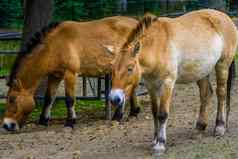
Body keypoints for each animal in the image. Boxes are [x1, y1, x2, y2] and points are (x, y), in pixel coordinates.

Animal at [2, 15, 139, 132]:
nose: (6, 125)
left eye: (12, 99)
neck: (55, 45)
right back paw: (133, 112)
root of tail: (136, 22)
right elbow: (49, 98)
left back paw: (118, 116)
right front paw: (43, 121)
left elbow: (69, 99)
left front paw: (70, 122)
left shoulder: (70, 74)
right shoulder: (55, 76)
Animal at [108, 9, 238, 153]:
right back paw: (199, 127)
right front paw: (155, 140)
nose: (114, 98)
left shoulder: (167, 83)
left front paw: (160, 144)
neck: (157, 46)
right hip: (201, 72)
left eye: (130, 68)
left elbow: (162, 114)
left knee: (221, 94)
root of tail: (225, 16)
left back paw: (220, 127)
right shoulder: (151, 85)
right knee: (206, 94)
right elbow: (155, 113)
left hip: (222, 66)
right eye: (112, 69)